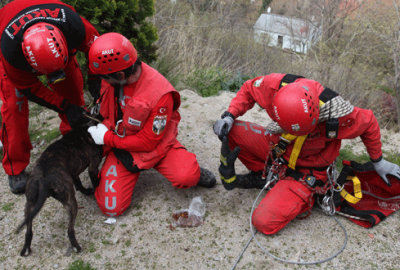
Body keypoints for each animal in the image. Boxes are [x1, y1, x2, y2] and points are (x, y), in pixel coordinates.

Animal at [15, 123, 103, 256]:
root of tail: (42, 176)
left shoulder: (73, 173)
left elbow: (79, 184)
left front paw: (87, 191)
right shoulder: (93, 167)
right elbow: (95, 182)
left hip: (30, 204)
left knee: (28, 230)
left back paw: (26, 248)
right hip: (70, 202)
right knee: (69, 230)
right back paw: (76, 247)